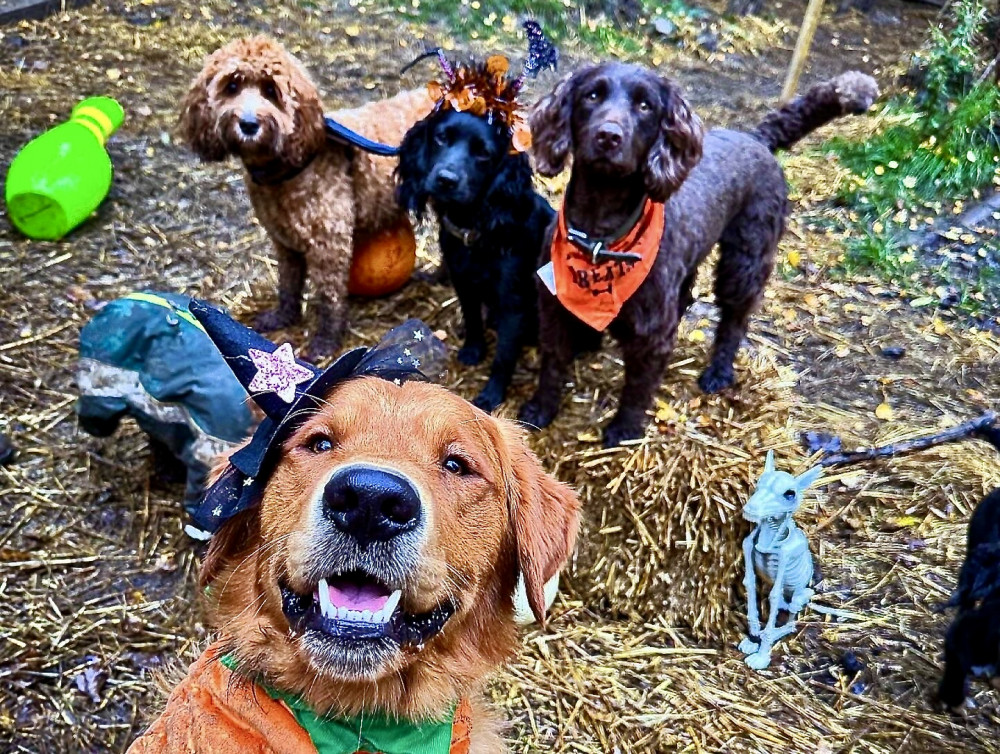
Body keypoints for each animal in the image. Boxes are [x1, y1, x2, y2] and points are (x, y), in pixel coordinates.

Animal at [180, 38, 434, 358]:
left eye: (271, 91)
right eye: (232, 86)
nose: (248, 124)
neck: (286, 168)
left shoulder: (329, 243)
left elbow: (330, 298)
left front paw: (325, 342)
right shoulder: (284, 241)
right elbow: (289, 283)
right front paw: (283, 317)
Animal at [396, 108, 556, 408]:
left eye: (484, 153)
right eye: (441, 137)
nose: (446, 179)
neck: (476, 230)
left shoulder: (513, 302)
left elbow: (503, 357)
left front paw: (491, 396)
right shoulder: (463, 282)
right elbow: (472, 319)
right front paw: (472, 350)